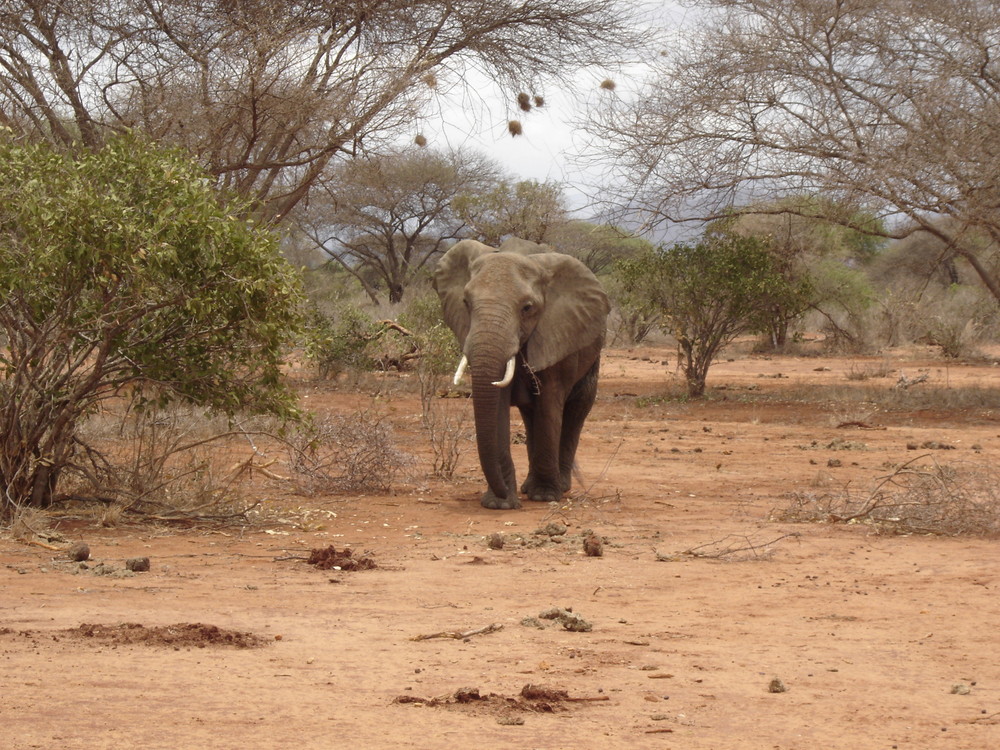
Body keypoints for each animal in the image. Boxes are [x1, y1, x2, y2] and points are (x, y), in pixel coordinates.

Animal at [432, 241, 608, 512]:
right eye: (465, 302)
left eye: (527, 308)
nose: (502, 491)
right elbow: (499, 405)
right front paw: (500, 503)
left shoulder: (557, 331)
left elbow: (550, 403)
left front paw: (544, 496)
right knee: (530, 415)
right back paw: (526, 487)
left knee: (577, 409)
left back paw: (561, 486)